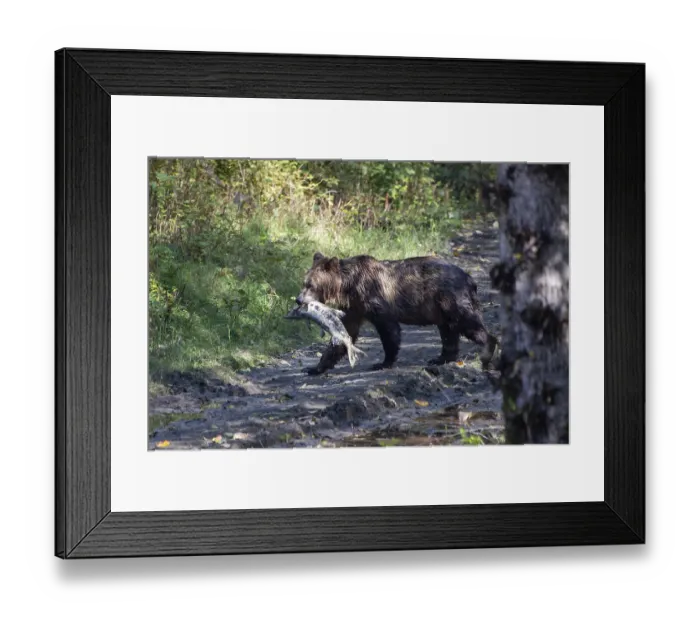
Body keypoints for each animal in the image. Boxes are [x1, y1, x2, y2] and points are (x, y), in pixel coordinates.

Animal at [295, 251, 498, 375]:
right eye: (304, 282)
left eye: (310, 285)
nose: (298, 299)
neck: (348, 287)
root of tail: (469, 277)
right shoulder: (354, 308)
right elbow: (345, 333)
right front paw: (316, 367)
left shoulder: (374, 298)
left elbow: (389, 330)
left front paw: (383, 362)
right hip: (441, 306)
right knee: (448, 330)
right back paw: (440, 358)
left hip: (451, 298)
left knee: (467, 322)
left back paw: (488, 348)